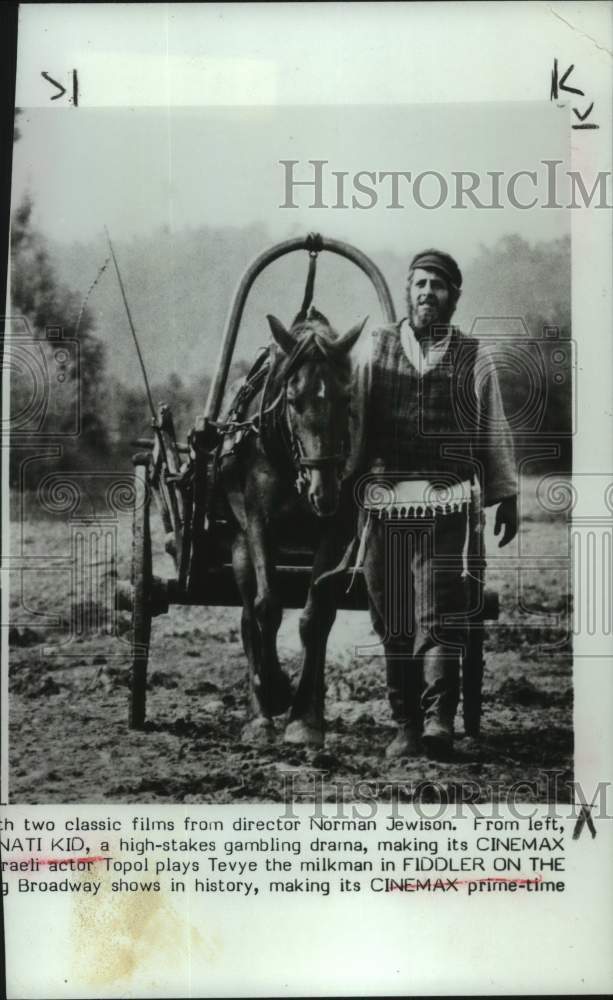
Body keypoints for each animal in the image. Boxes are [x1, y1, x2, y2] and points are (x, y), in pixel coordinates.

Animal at [218, 308, 366, 748]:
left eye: (346, 399)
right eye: (292, 400)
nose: (324, 492)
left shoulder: (335, 531)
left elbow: (314, 617)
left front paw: (305, 718)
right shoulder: (257, 522)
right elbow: (267, 607)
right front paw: (272, 696)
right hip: (238, 543)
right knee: (248, 616)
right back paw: (259, 704)